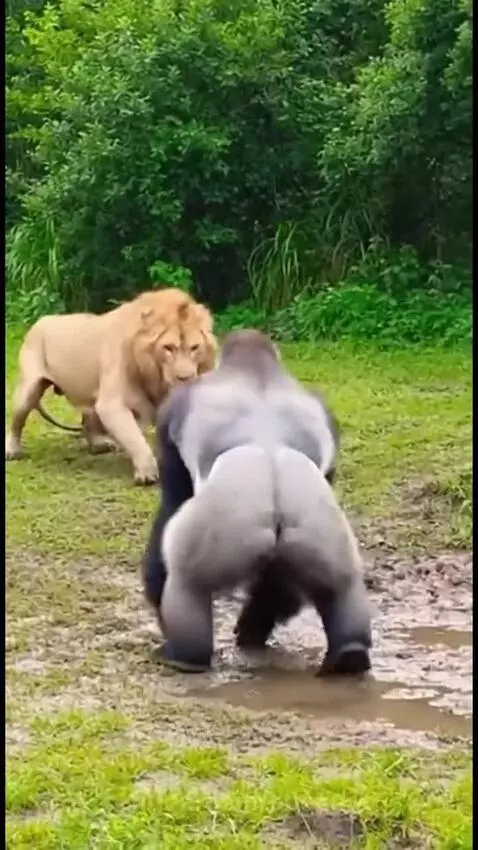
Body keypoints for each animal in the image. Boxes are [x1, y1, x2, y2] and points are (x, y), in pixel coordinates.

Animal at [5, 288, 217, 484]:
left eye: (194, 348)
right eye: (168, 348)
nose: (186, 377)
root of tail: (40, 321)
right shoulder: (112, 404)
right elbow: (136, 439)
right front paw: (147, 473)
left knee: (88, 420)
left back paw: (99, 445)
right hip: (28, 389)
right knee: (17, 421)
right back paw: (12, 451)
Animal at [142, 329, 371, 676]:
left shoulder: (173, 411)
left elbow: (171, 503)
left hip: (226, 527)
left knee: (187, 583)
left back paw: (184, 658)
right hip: (320, 531)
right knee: (339, 587)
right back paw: (349, 653)